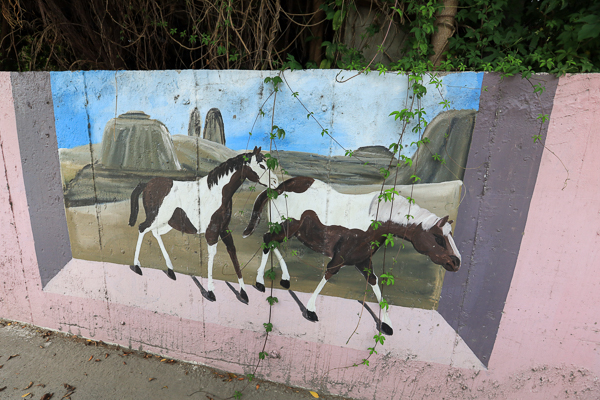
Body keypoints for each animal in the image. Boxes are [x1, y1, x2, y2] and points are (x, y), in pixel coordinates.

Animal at [129, 147, 278, 304]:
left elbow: (232, 252)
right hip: (155, 218)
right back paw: (137, 267)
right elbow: (212, 255)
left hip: (166, 222)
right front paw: (211, 292)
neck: (217, 193)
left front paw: (243, 293)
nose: (275, 181)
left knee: (155, 233)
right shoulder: (211, 232)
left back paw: (171, 270)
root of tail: (147, 184)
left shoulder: (224, 229)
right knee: (142, 228)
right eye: (261, 165)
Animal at [241, 178, 462, 334]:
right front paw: (311, 311)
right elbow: (328, 275)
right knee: (267, 241)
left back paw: (285, 279)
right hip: (285, 227)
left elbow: (374, 284)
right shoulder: (341, 258)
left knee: (271, 243)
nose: (456, 262)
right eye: (438, 238)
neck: (376, 219)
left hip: (289, 231)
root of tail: (279, 187)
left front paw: (387, 325)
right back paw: (260, 282)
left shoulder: (363, 261)